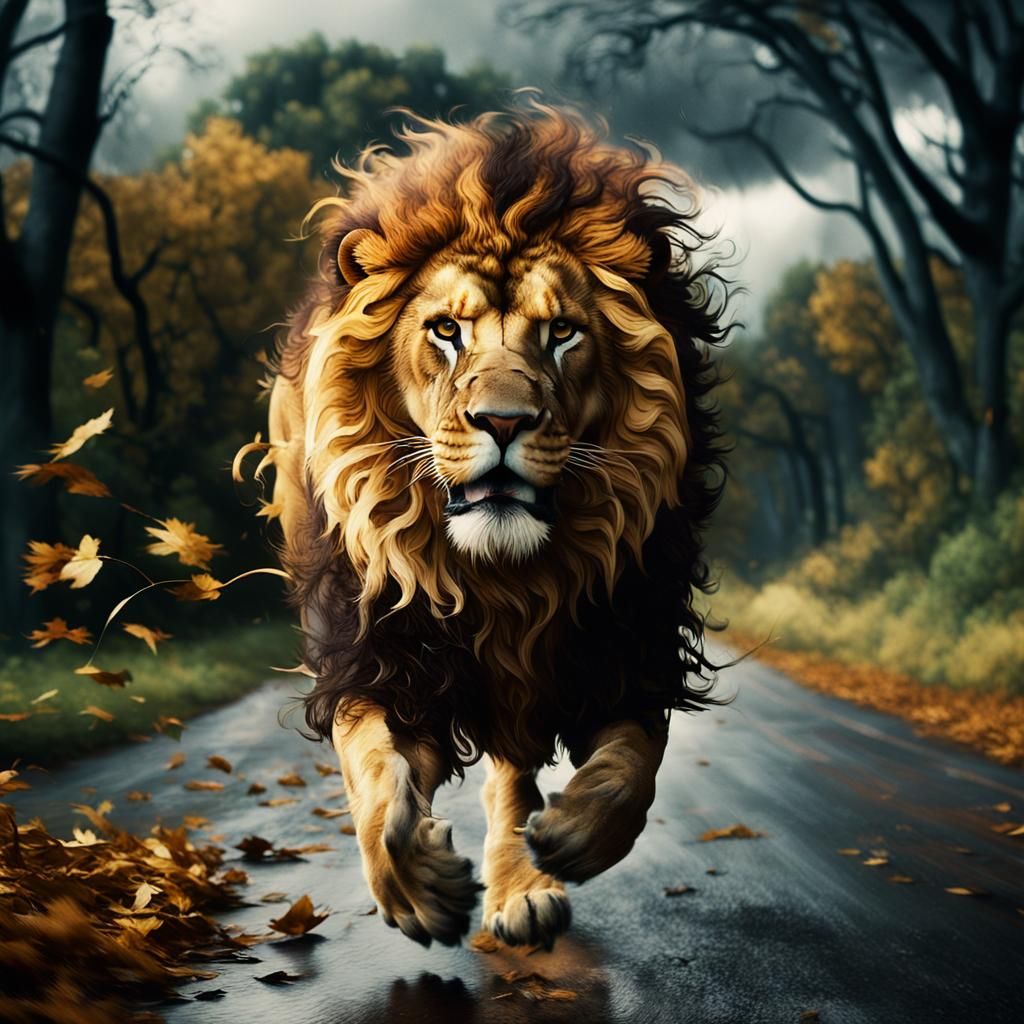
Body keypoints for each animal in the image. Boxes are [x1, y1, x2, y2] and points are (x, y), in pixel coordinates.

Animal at [263, 100, 727, 950]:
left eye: (563, 332)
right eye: (446, 330)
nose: (504, 421)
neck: (502, 580)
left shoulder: (630, 640)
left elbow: (632, 765)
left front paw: (573, 834)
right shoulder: (373, 657)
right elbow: (374, 777)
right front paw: (418, 885)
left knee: (514, 766)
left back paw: (525, 880)